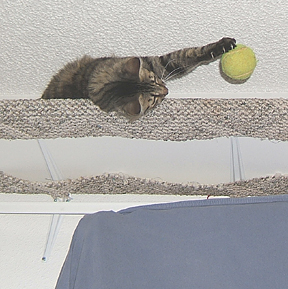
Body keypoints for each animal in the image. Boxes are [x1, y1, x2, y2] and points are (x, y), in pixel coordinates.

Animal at [42, 37, 236, 120]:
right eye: (154, 99)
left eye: (154, 79)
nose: (167, 90)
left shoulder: (156, 64)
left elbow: (190, 54)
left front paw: (223, 45)